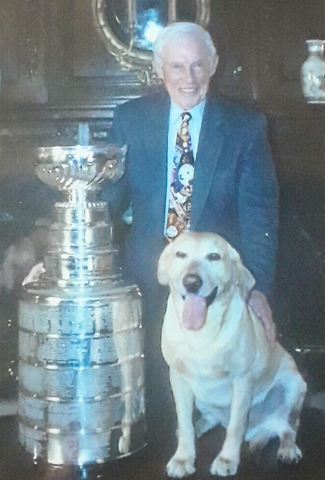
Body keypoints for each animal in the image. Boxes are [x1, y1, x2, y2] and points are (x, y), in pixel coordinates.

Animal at [158, 232, 306, 476]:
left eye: (214, 256)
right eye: (181, 254)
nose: (191, 282)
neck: (202, 334)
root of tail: (261, 427)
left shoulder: (242, 380)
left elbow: (236, 426)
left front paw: (227, 459)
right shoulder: (178, 379)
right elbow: (184, 421)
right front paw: (183, 457)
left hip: (293, 383)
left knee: (288, 426)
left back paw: (287, 449)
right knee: (207, 420)